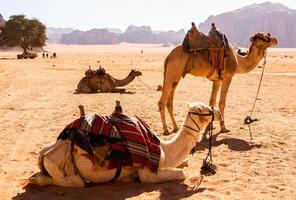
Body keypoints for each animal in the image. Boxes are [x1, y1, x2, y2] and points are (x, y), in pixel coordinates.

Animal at [30, 102, 221, 187]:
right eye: (206, 110)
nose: (219, 112)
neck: (164, 150)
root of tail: (44, 154)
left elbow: (183, 164)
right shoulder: (148, 171)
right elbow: (181, 173)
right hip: (64, 170)